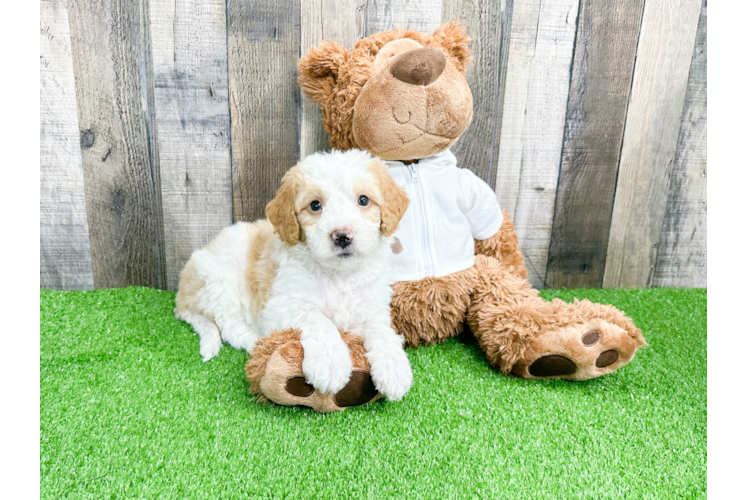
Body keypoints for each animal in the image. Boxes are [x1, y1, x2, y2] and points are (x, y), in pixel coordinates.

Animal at [174, 150, 414, 400]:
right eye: (315, 205)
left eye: (364, 200)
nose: (342, 236)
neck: (338, 274)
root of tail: (182, 295)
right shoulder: (279, 307)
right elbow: (317, 318)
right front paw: (329, 363)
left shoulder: (372, 308)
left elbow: (381, 329)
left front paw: (394, 368)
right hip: (220, 282)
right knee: (229, 326)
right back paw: (257, 340)